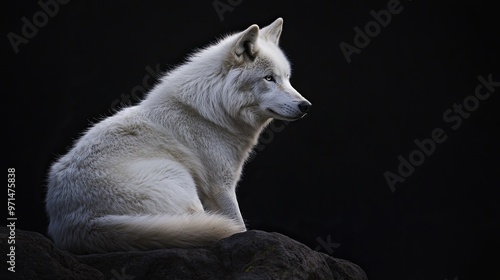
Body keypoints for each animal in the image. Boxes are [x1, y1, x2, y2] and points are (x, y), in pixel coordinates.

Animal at [47, 17, 312, 254]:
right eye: (269, 78)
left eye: (287, 78)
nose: (306, 106)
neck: (211, 111)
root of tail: (83, 224)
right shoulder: (220, 187)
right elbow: (238, 224)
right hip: (179, 178)